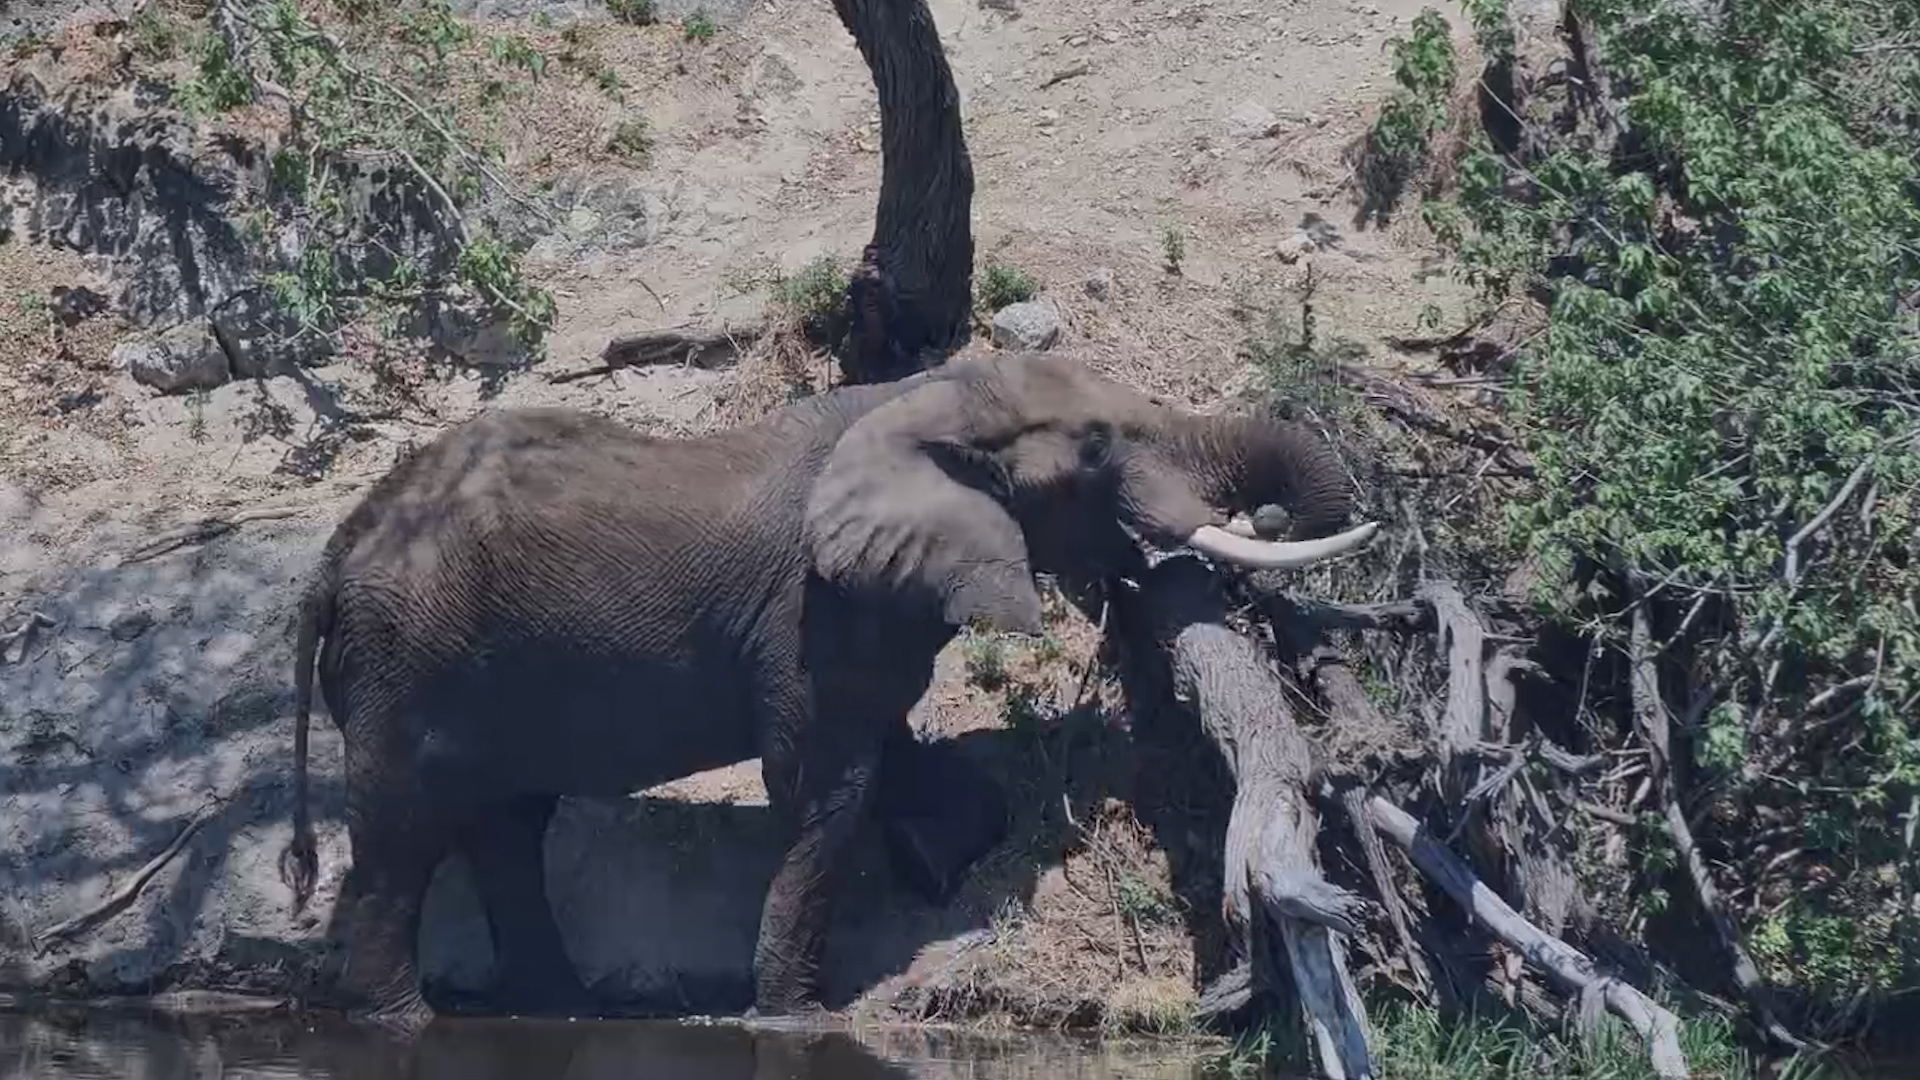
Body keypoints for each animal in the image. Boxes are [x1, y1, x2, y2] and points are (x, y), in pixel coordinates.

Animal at [277, 349, 1379, 1034]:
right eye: (1099, 447)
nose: (1267, 518)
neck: (928, 394)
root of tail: (334, 556)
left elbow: (888, 750)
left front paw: (948, 855)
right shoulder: (815, 611)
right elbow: (824, 786)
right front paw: (796, 1018)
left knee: (507, 827)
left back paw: (559, 1007)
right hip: (407, 663)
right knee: (407, 836)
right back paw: (402, 1021)